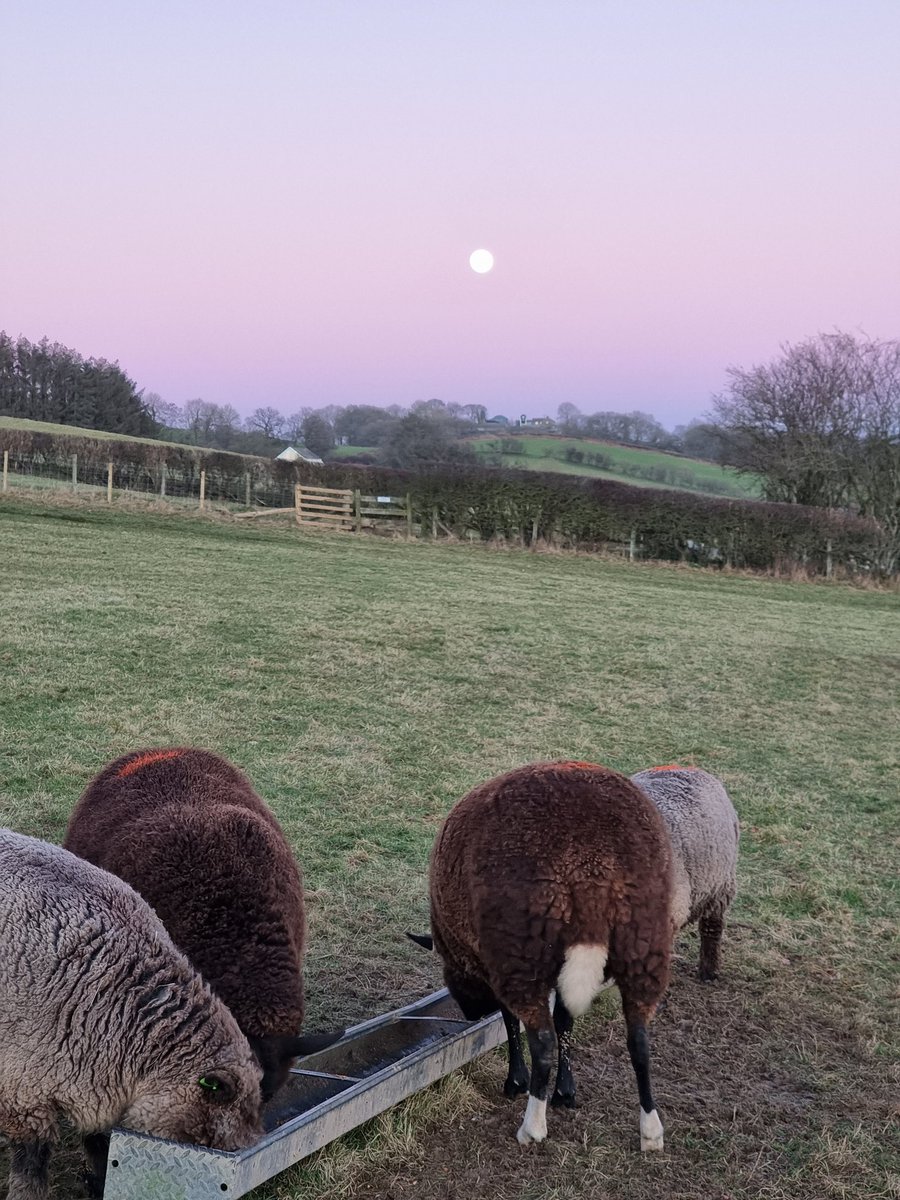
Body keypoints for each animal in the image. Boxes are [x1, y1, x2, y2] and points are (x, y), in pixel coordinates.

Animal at [415, 760, 673, 1151]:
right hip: (643, 943)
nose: (473, 1015)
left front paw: (517, 1082)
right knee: (640, 1041)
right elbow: (566, 1020)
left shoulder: (494, 963)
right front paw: (566, 1092)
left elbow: (512, 1022)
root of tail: (592, 866)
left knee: (543, 1041)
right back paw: (651, 1129)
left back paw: (532, 1125)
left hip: (522, 951)